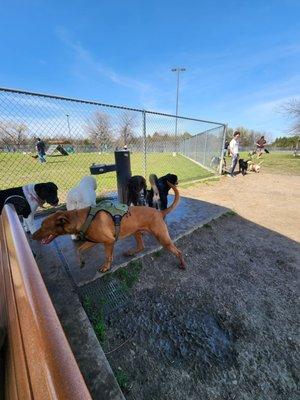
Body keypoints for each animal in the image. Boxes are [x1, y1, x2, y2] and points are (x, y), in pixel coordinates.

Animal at [31, 183, 184, 274]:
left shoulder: (109, 241)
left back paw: (182, 264)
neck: (83, 217)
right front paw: (81, 262)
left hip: (163, 238)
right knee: (141, 246)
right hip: (136, 232)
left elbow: (107, 256)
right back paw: (132, 252)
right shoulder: (92, 241)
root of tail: (159, 212)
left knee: (179, 251)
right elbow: (79, 250)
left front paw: (106, 267)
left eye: (43, 227)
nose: (32, 237)